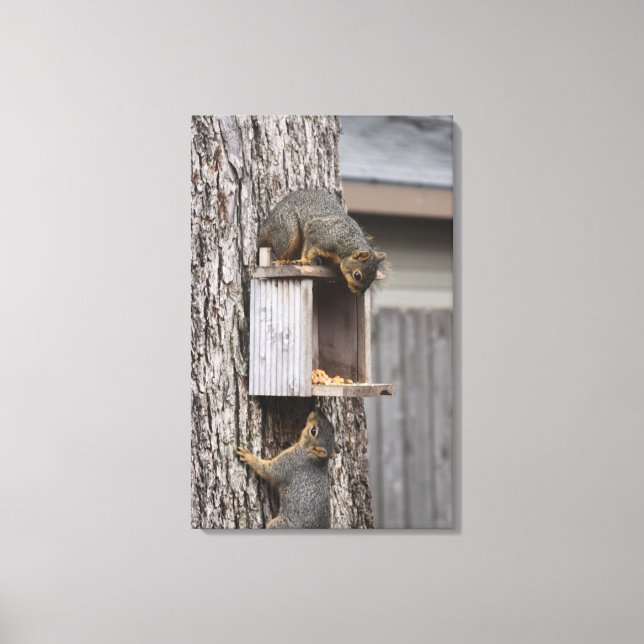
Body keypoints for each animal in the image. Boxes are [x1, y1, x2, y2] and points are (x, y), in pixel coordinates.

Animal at [258, 189, 386, 294]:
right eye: (357, 275)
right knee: (281, 249)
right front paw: (304, 261)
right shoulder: (317, 234)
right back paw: (282, 261)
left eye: (374, 276)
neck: (346, 243)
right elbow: (308, 250)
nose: (359, 293)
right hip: (287, 227)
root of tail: (267, 223)